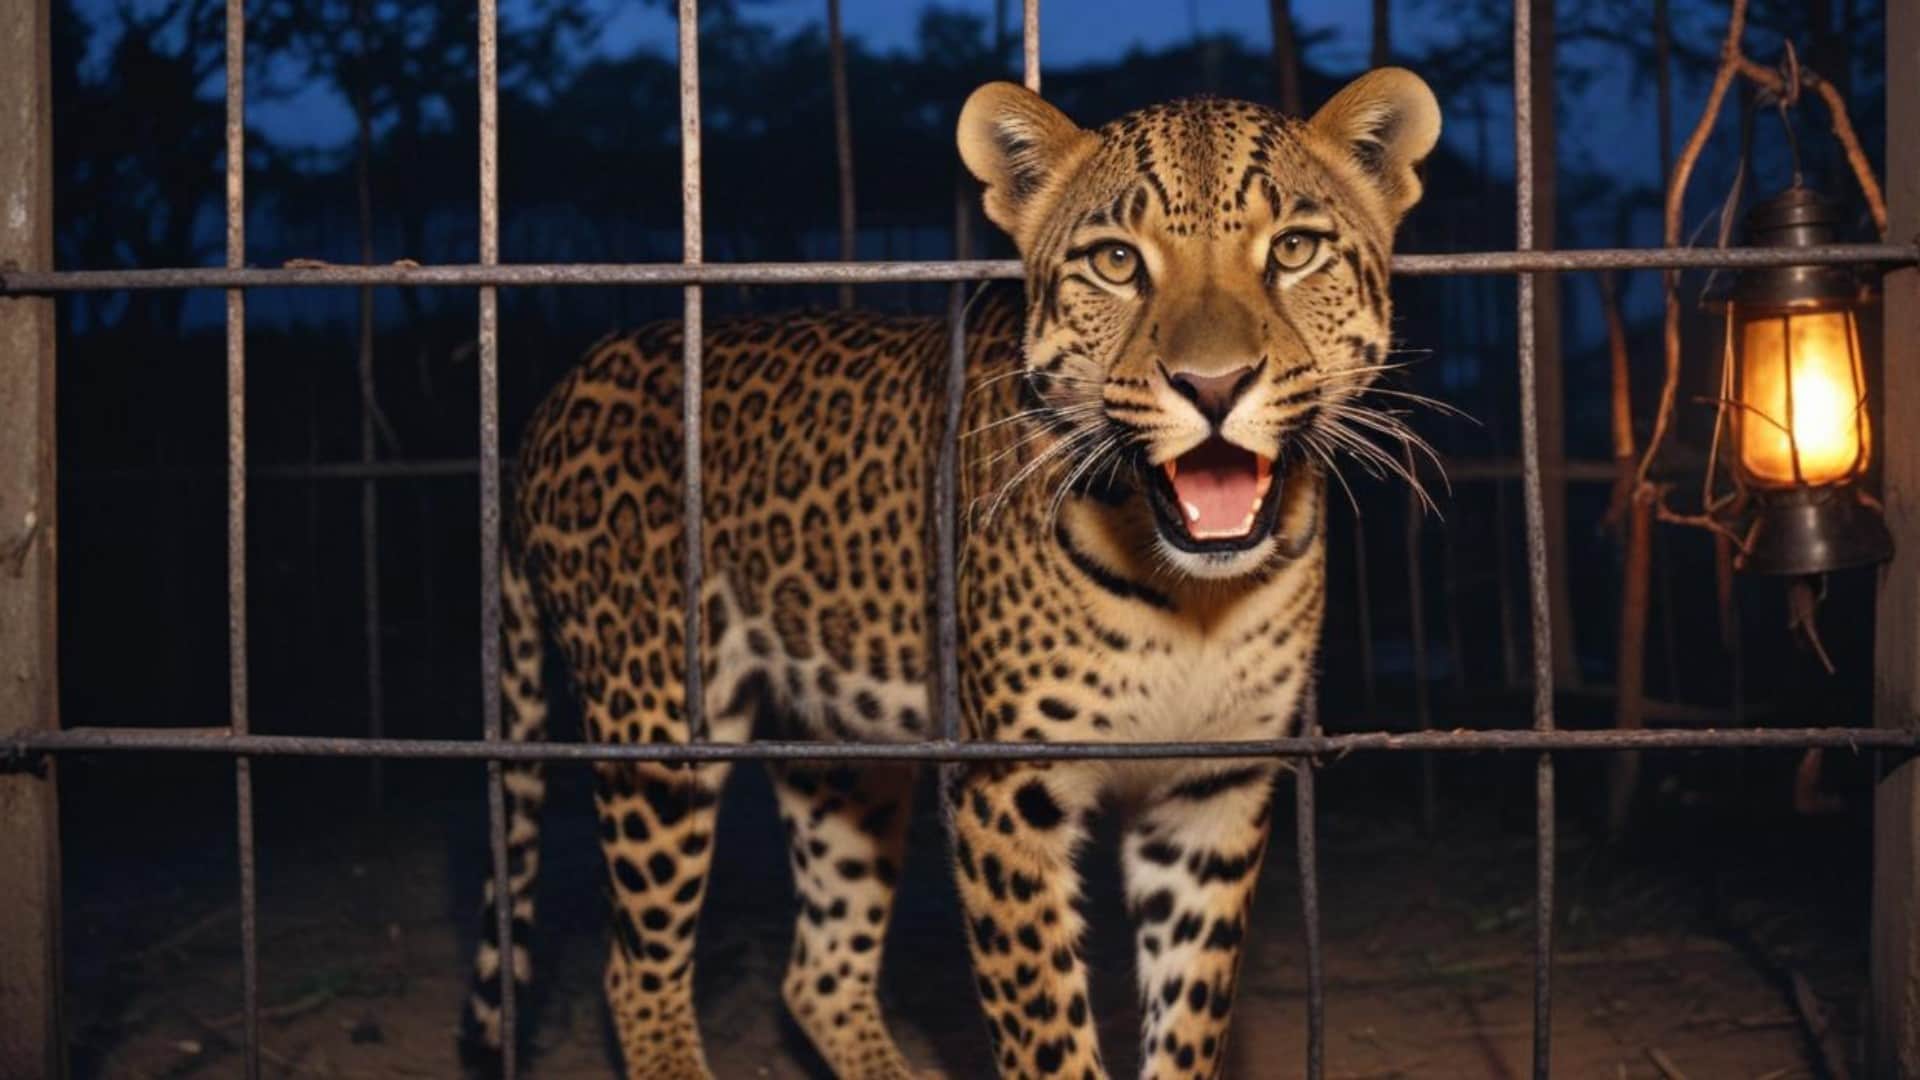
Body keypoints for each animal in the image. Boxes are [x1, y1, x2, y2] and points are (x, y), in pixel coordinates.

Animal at [458, 67, 1440, 1079]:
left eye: (1294, 250)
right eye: (1116, 263)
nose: (1212, 387)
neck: (1190, 596)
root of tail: (559, 391)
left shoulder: (1214, 790)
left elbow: (1191, 1018)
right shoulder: (1006, 792)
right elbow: (1048, 1033)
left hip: (839, 755)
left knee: (819, 975)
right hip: (657, 731)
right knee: (638, 974)